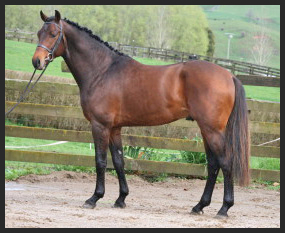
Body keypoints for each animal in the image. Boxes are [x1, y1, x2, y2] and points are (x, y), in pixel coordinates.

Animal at [31, 10, 248, 218]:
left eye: (54, 34)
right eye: (39, 33)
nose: (37, 61)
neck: (103, 71)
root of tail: (229, 75)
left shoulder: (100, 126)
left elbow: (100, 161)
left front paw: (94, 198)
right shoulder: (115, 128)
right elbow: (119, 160)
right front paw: (121, 199)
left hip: (212, 130)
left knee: (225, 163)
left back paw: (224, 208)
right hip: (205, 130)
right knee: (213, 165)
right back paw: (199, 206)